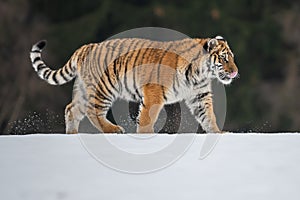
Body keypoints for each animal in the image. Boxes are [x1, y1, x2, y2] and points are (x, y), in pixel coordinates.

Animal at [29, 35, 238, 134]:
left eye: (232, 58)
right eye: (224, 58)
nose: (235, 72)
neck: (200, 73)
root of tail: (85, 47)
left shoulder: (199, 96)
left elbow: (208, 116)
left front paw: (218, 133)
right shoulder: (154, 91)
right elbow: (147, 116)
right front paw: (146, 135)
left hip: (84, 89)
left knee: (71, 109)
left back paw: (72, 134)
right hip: (104, 88)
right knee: (92, 111)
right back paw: (113, 129)